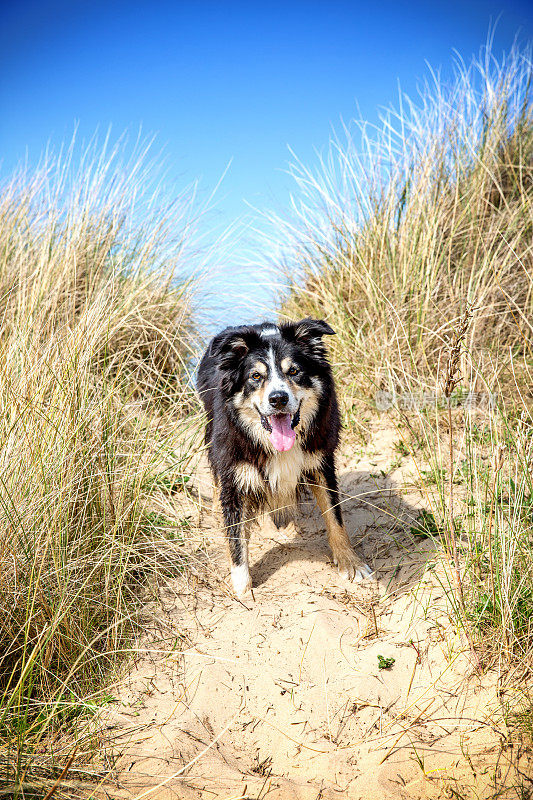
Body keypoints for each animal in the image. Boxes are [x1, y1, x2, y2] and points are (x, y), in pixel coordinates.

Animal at [195, 316, 370, 596]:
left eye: (294, 371)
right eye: (256, 376)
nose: (278, 399)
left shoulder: (321, 459)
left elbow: (335, 516)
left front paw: (350, 562)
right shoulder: (234, 470)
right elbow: (236, 538)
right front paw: (243, 590)